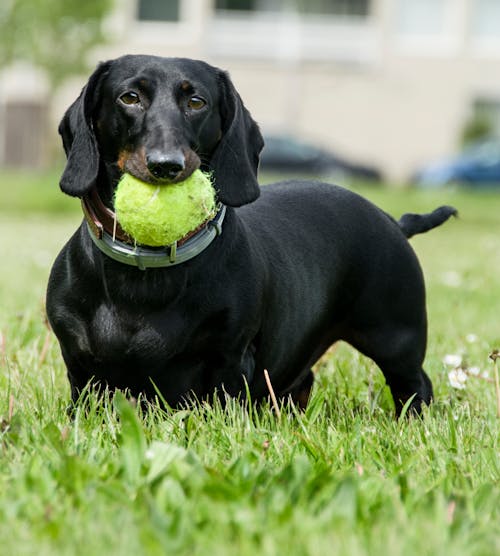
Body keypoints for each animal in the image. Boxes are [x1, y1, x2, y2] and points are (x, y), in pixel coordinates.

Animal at [47, 55, 458, 412]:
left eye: (196, 101)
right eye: (129, 97)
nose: (167, 165)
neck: (146, 269)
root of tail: (392, 220)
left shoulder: (230, 358)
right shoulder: (81, 368)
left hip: (395, 338)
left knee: (415, 384)